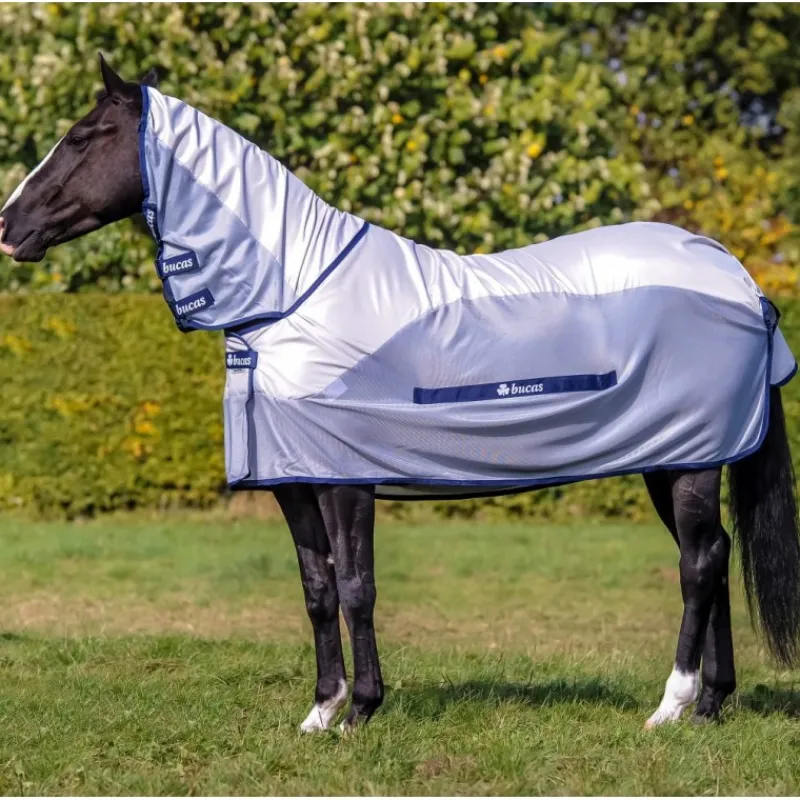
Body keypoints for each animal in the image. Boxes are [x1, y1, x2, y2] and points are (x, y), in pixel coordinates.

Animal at [2, 56, 800, 733]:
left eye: (82, 137)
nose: (9, 226)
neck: (292, 295)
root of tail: (738, 278)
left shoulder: (346, 478)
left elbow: (358, 586)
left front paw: (362, 709)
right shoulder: (296, 480)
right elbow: (318, 588)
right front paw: (320, 713)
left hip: (690, 460)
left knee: (698, 564)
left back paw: (670, 707)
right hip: (671, 459)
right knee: (715, 554)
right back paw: (711, 706)